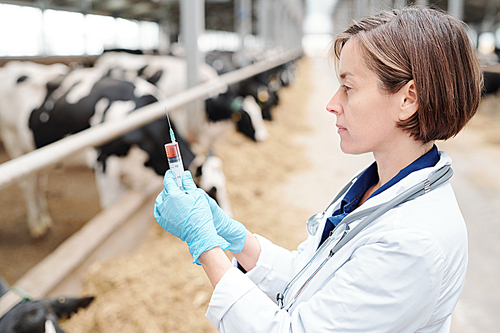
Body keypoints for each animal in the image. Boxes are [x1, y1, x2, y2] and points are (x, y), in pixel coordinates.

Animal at [0, 62, 233, 237]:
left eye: (222, 188)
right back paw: (36, 225)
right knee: (27, 185)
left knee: (39, 182)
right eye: (211, 191)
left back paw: (44, 219)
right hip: (15, 145)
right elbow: (111, 210)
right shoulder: (104, 164)